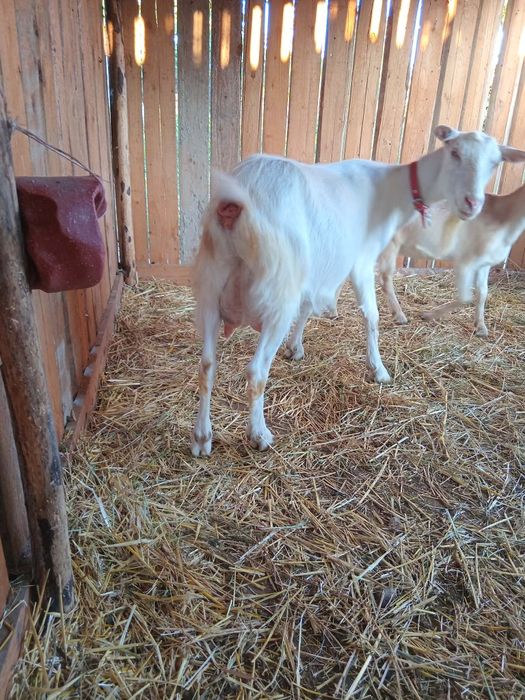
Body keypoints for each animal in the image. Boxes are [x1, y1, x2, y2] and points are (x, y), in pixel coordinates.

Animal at [378, 182, 525, 337]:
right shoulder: (466, 261)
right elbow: (465, 298)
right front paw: (428, 315)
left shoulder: (484, 264)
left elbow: (483, 292)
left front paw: (481, 327)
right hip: (390, 244)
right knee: (385, 279)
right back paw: (399, 315)